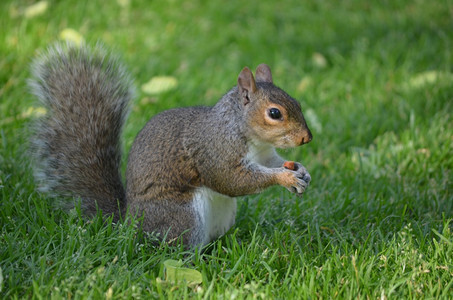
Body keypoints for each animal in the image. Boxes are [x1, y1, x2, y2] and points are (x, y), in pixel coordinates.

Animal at [28, 43, 310, 247]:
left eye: (297, 102)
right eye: (274, 113)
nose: (306, 138)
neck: (247, 135)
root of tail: (129, 223)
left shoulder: (264, 154)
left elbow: (271, 163)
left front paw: (301, 171)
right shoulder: (215, 151)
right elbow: (232, 180)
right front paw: (285, 177)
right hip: (183, 216)